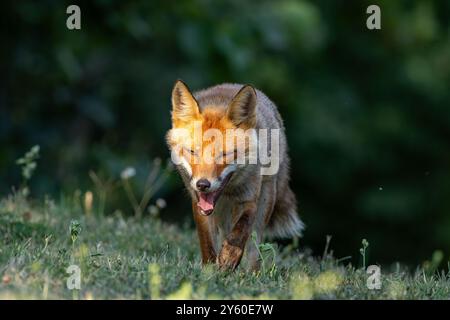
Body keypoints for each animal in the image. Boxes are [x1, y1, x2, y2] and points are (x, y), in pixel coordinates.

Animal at [165, 80, 302, 270]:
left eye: (224, 155)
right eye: (192, 152)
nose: (203, 184)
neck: (227, 192)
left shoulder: (249, 197)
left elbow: (240, 231)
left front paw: (229, 258)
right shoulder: (198, 202)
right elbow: (207, 243)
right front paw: (209, 270)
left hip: (265, 200)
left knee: (254, 250)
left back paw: (251, 273)